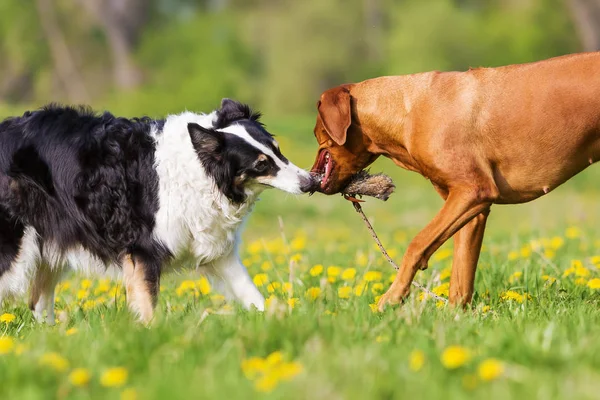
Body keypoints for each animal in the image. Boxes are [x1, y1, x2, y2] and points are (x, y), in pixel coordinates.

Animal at [0, 98, 316, 324]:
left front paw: (280, 322)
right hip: (15, 249)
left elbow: (252, 294)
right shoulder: (142, 250)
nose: (310, 182)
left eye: (278, 149)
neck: (200, 169)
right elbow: (147, 305)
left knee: (38, 302)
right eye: (261, 164)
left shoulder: (217, 253)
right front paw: (152, 336)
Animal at [310, 51, 600, 310]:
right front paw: (455, 318)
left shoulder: (473, 190)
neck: (407, 110)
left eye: (316, 133)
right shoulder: (471, 208)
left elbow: (417, 244)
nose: (311, 176)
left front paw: (391, 298)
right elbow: (461, 275)